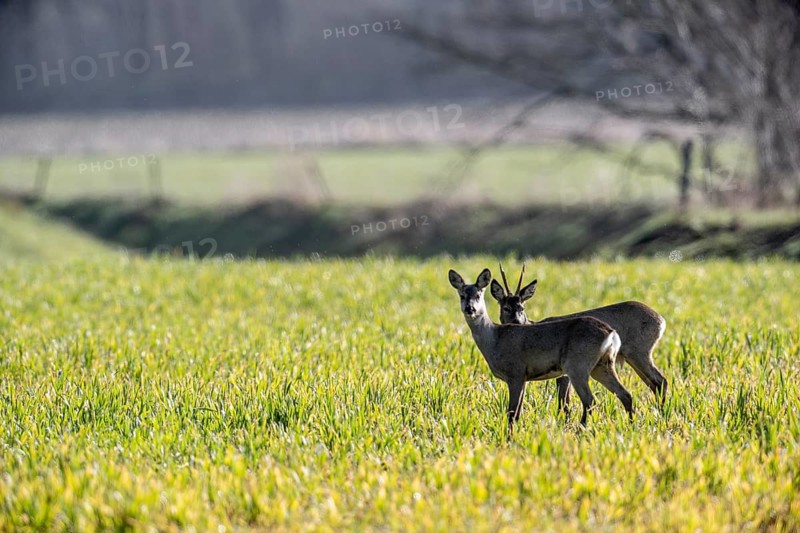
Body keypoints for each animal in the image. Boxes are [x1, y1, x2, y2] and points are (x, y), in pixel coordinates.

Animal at [448, 268, 633, 435]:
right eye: (462, 295)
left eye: (478, 295)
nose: (470, 309)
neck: (494, 338)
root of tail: (611, 332)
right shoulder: (523, 377)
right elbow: (517, 413)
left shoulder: (515, 373)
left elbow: (512, 413)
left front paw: (509, 438)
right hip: (602, 365)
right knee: (625, 394)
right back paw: (630, 427)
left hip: (577, 365)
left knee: (590, 401)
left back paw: (580, 432)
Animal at [490, 263, 667, 417]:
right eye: (506, 308)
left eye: (522, 308)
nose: (516, 322)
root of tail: (661, 320)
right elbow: (564, 402)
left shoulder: (565, 373)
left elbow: (564, 403)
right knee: (653, 383)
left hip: (639, 351)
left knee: (660, 381)